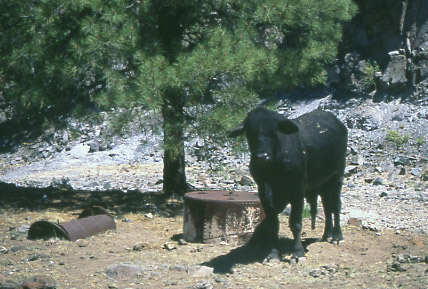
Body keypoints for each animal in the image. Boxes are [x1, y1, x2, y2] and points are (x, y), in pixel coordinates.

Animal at [227, 107, 348, 262]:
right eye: (249, 131)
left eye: (274, 130)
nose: (262, 156)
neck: (276, 166)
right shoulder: (264, 191)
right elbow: (273, 223)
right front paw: (273, 253)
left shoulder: (298, 188)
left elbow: (295, 222)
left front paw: (298, 252)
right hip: (322, 182)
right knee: (327, 206)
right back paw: (327, 234)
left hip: (337, 174)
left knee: (336, 205)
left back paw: (337, 236)